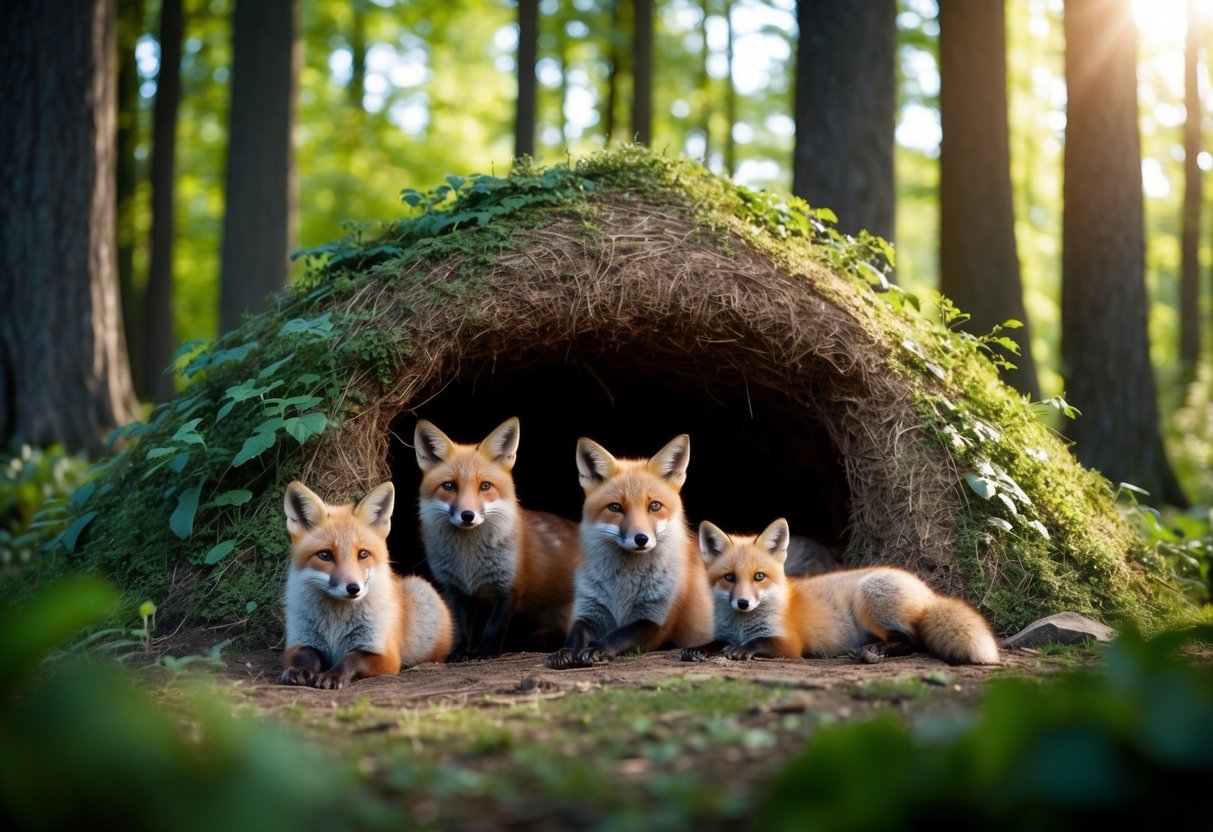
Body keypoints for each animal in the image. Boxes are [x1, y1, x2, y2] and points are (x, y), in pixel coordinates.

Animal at [279, 480, 453, 689]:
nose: (353, 588)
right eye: (325, 555)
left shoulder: (384, 655)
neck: (335, 625)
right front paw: (299, 671)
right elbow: (306, 656)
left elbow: (350, 658)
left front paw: (333, 676)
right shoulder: (299, 642)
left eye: (363, 554)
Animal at [415, 416, 582, 659]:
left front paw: (485, 652)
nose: (467, 515)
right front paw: (459, 652)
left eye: (485, 486)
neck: (468, 562)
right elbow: (460, 627)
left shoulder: (510, 586)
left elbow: (493, 627)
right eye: (449, 486)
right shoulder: (456, 590)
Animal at [546, 434, 714, 669]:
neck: (622, 589)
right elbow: (576, 631)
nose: (641, 539)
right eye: (615, 507)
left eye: (654, 506)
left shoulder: (657, 621)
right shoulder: (591, 609)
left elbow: (620, 634)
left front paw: (598, 649)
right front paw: (566, 651)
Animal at [682, 518, 1001, 666]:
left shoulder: (789, 644)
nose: (743, 603)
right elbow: (714, 641)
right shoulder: (724, 632)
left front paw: (740, 650)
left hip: (868, 597)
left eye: (759, 576)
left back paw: (876, 650)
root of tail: (928, 592)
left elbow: (757, 643)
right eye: (729, 578)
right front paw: (698, 649)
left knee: (913, 641)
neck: (741, 625)